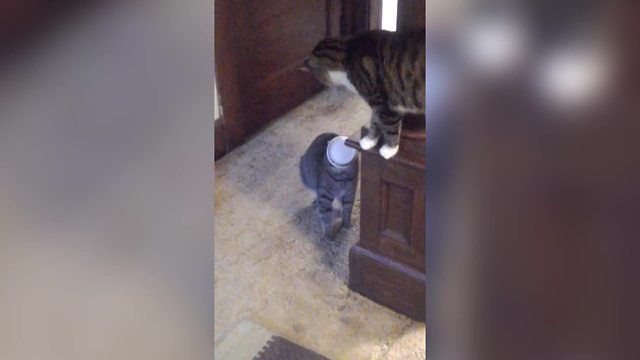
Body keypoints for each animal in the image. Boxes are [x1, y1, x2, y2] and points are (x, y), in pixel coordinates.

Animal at [300, 30, 424, 160]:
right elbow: (375, 122)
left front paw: (390, 150)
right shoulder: (379, 105)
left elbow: (391, 128)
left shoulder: (383, 104)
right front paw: (369, 141)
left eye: (318, 77)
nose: (323, 83)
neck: (346, 54)